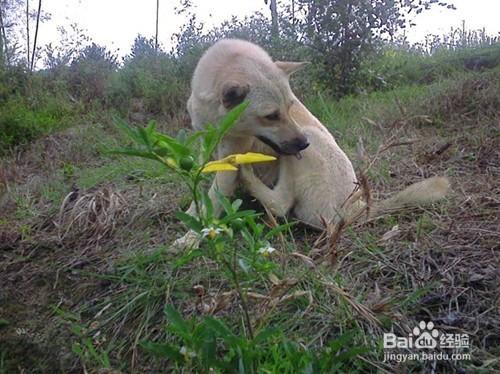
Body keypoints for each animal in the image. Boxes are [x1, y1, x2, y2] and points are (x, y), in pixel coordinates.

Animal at [175, 39, 450, 247]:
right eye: (271, 116)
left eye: (290, 106)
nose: (303, 144)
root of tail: (359, 207)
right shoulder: (209, 145)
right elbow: (203, 189)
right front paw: (191, 215)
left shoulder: (231, 156)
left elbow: (214, 198)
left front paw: (191, 237)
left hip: (307, 143)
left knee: (281, 204)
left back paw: (249, 176)